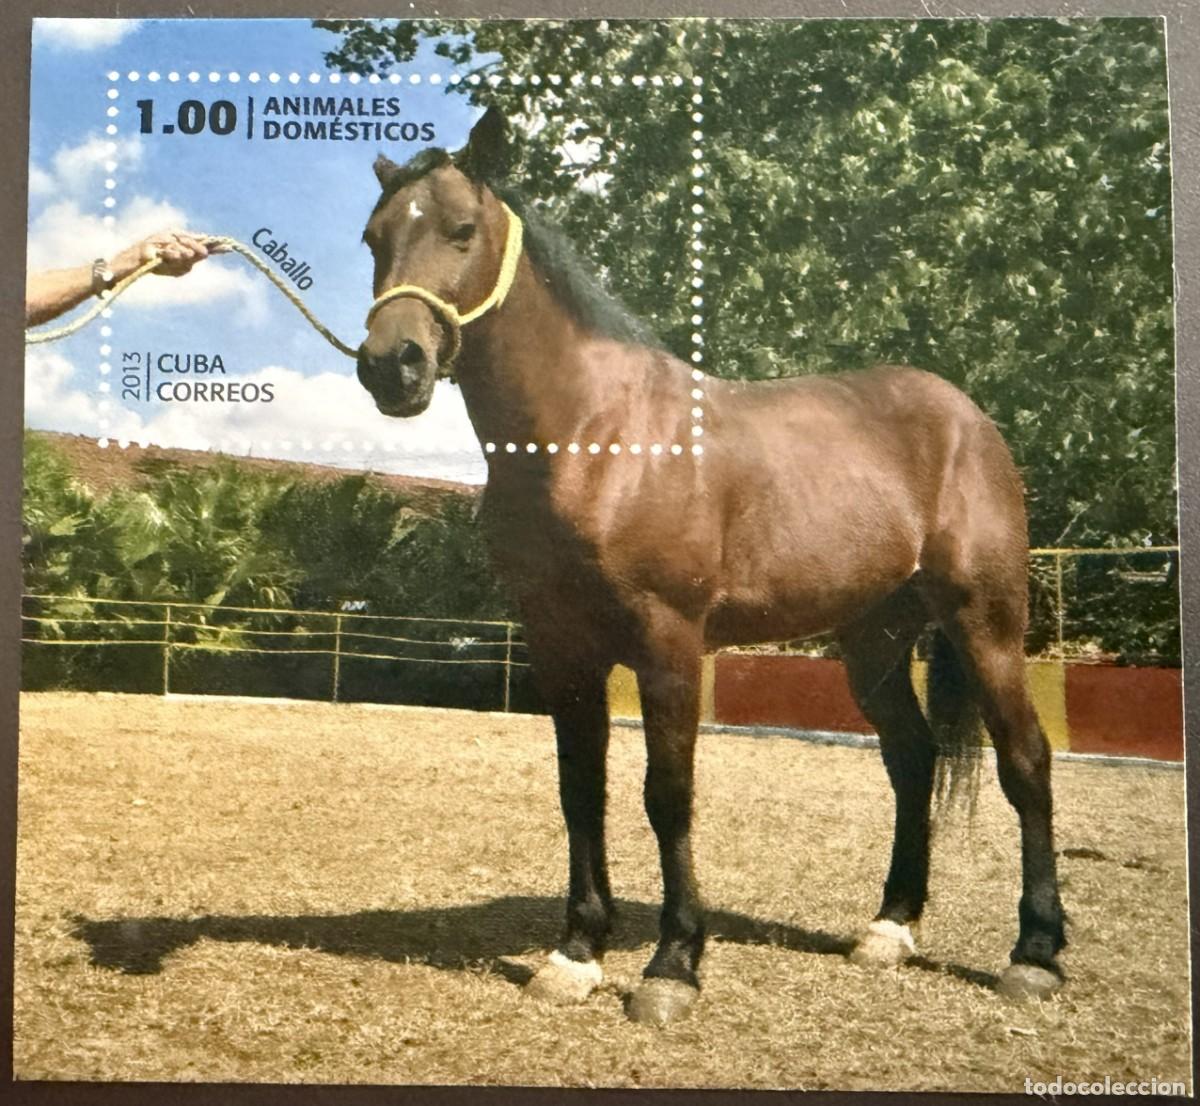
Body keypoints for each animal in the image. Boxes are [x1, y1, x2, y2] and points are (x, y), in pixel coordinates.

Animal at [354, 106, 1065, 1025]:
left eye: (461, 230)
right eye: (373, 239)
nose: (390, 365)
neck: (596, 435)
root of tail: (968, 418)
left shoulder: (669, 642)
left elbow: (668, 792)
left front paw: (674, 964)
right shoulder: (559, 646)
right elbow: (580, 790)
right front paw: (576, 953)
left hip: (986, 623)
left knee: (1026, 761)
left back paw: (1036, 953)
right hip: (874, 641)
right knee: (911, 760)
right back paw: (889, 928)